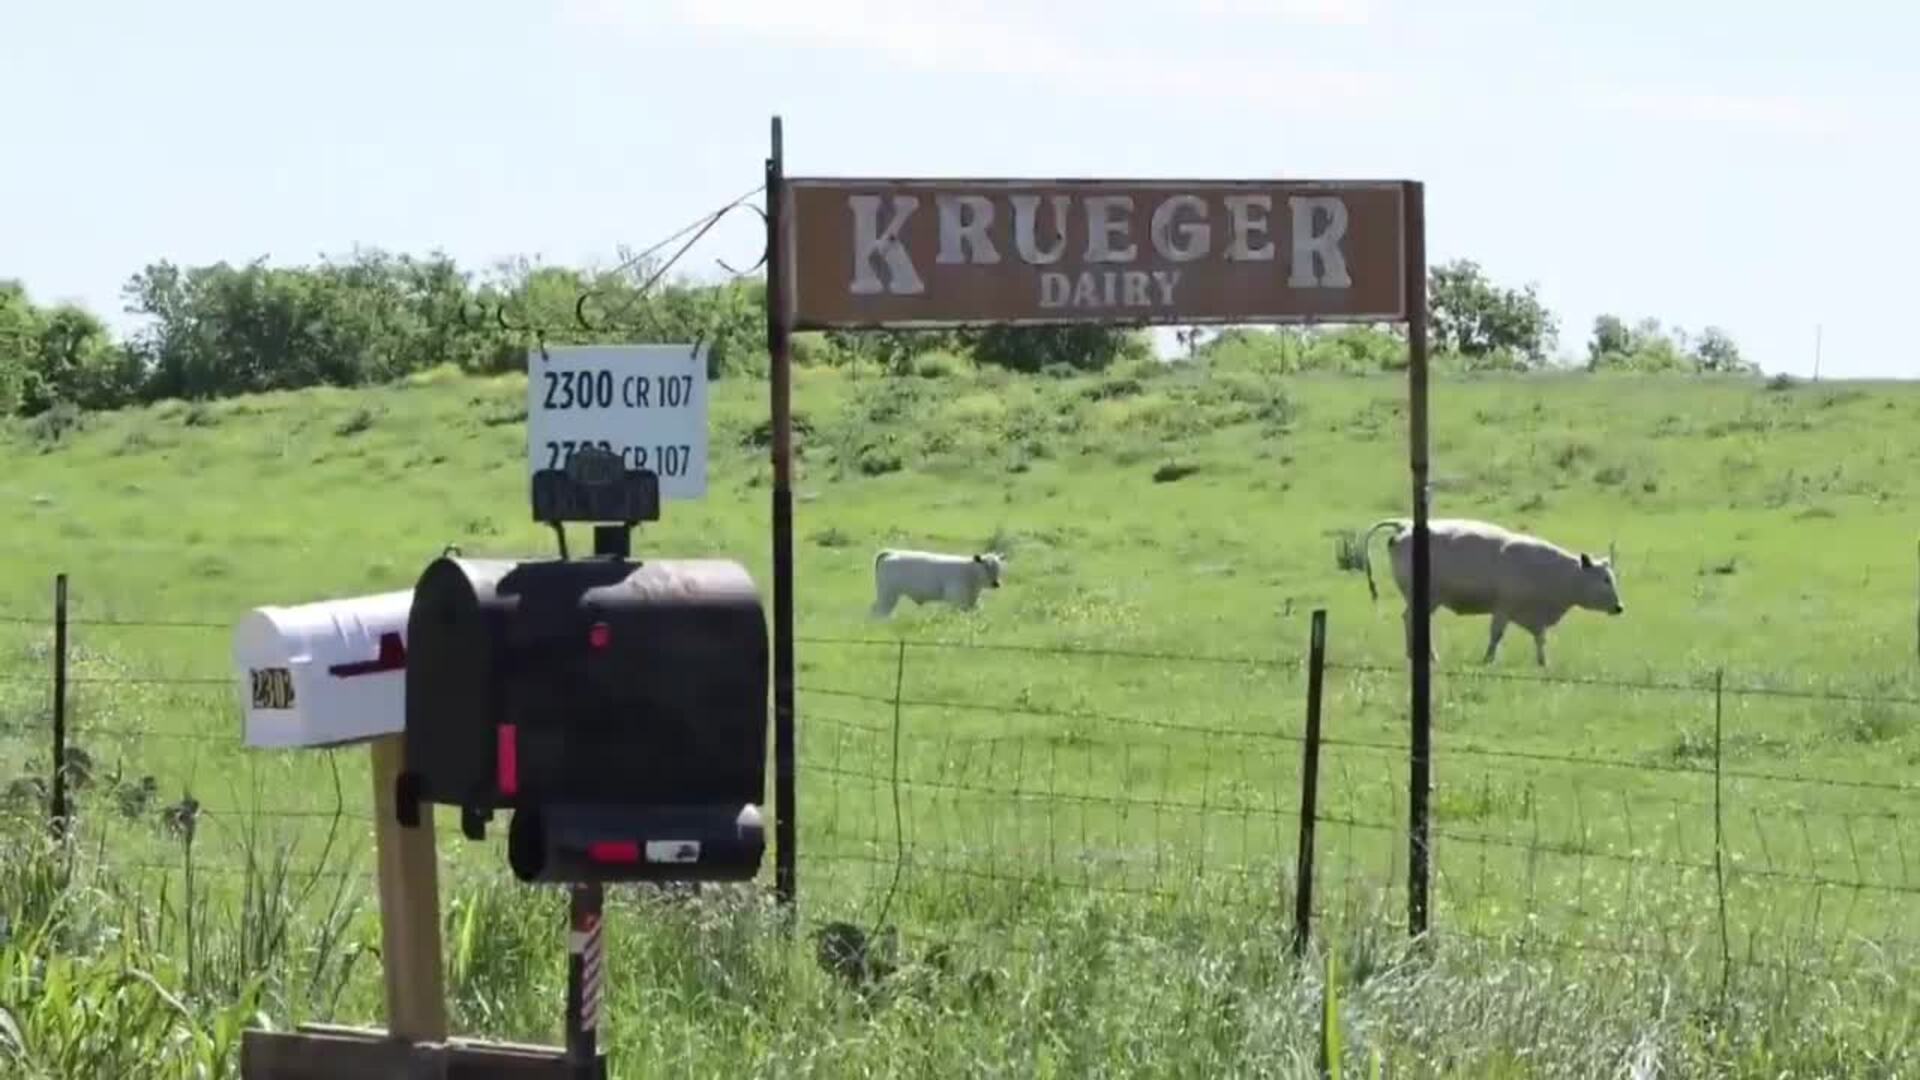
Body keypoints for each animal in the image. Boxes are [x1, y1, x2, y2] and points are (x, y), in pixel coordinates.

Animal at [870, 548, 1005, 618]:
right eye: (986, 566)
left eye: (998, 567)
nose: (996, 583)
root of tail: (891, 553)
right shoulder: (956, 599)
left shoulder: (970, 602)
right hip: (888, 595)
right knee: (880, 612)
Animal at [1358, 517, 1624, 666]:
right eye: (1604, 579)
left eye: (1612, 578)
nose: (1619, 607)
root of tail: (1404, 526)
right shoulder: (1503, 608)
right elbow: (1496, 634)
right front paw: (1488, 659)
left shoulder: (1535, 617)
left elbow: (1540, 639)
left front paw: (1543, 663)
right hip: (1426, 599)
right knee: (1411, 620)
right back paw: (1427, 656)